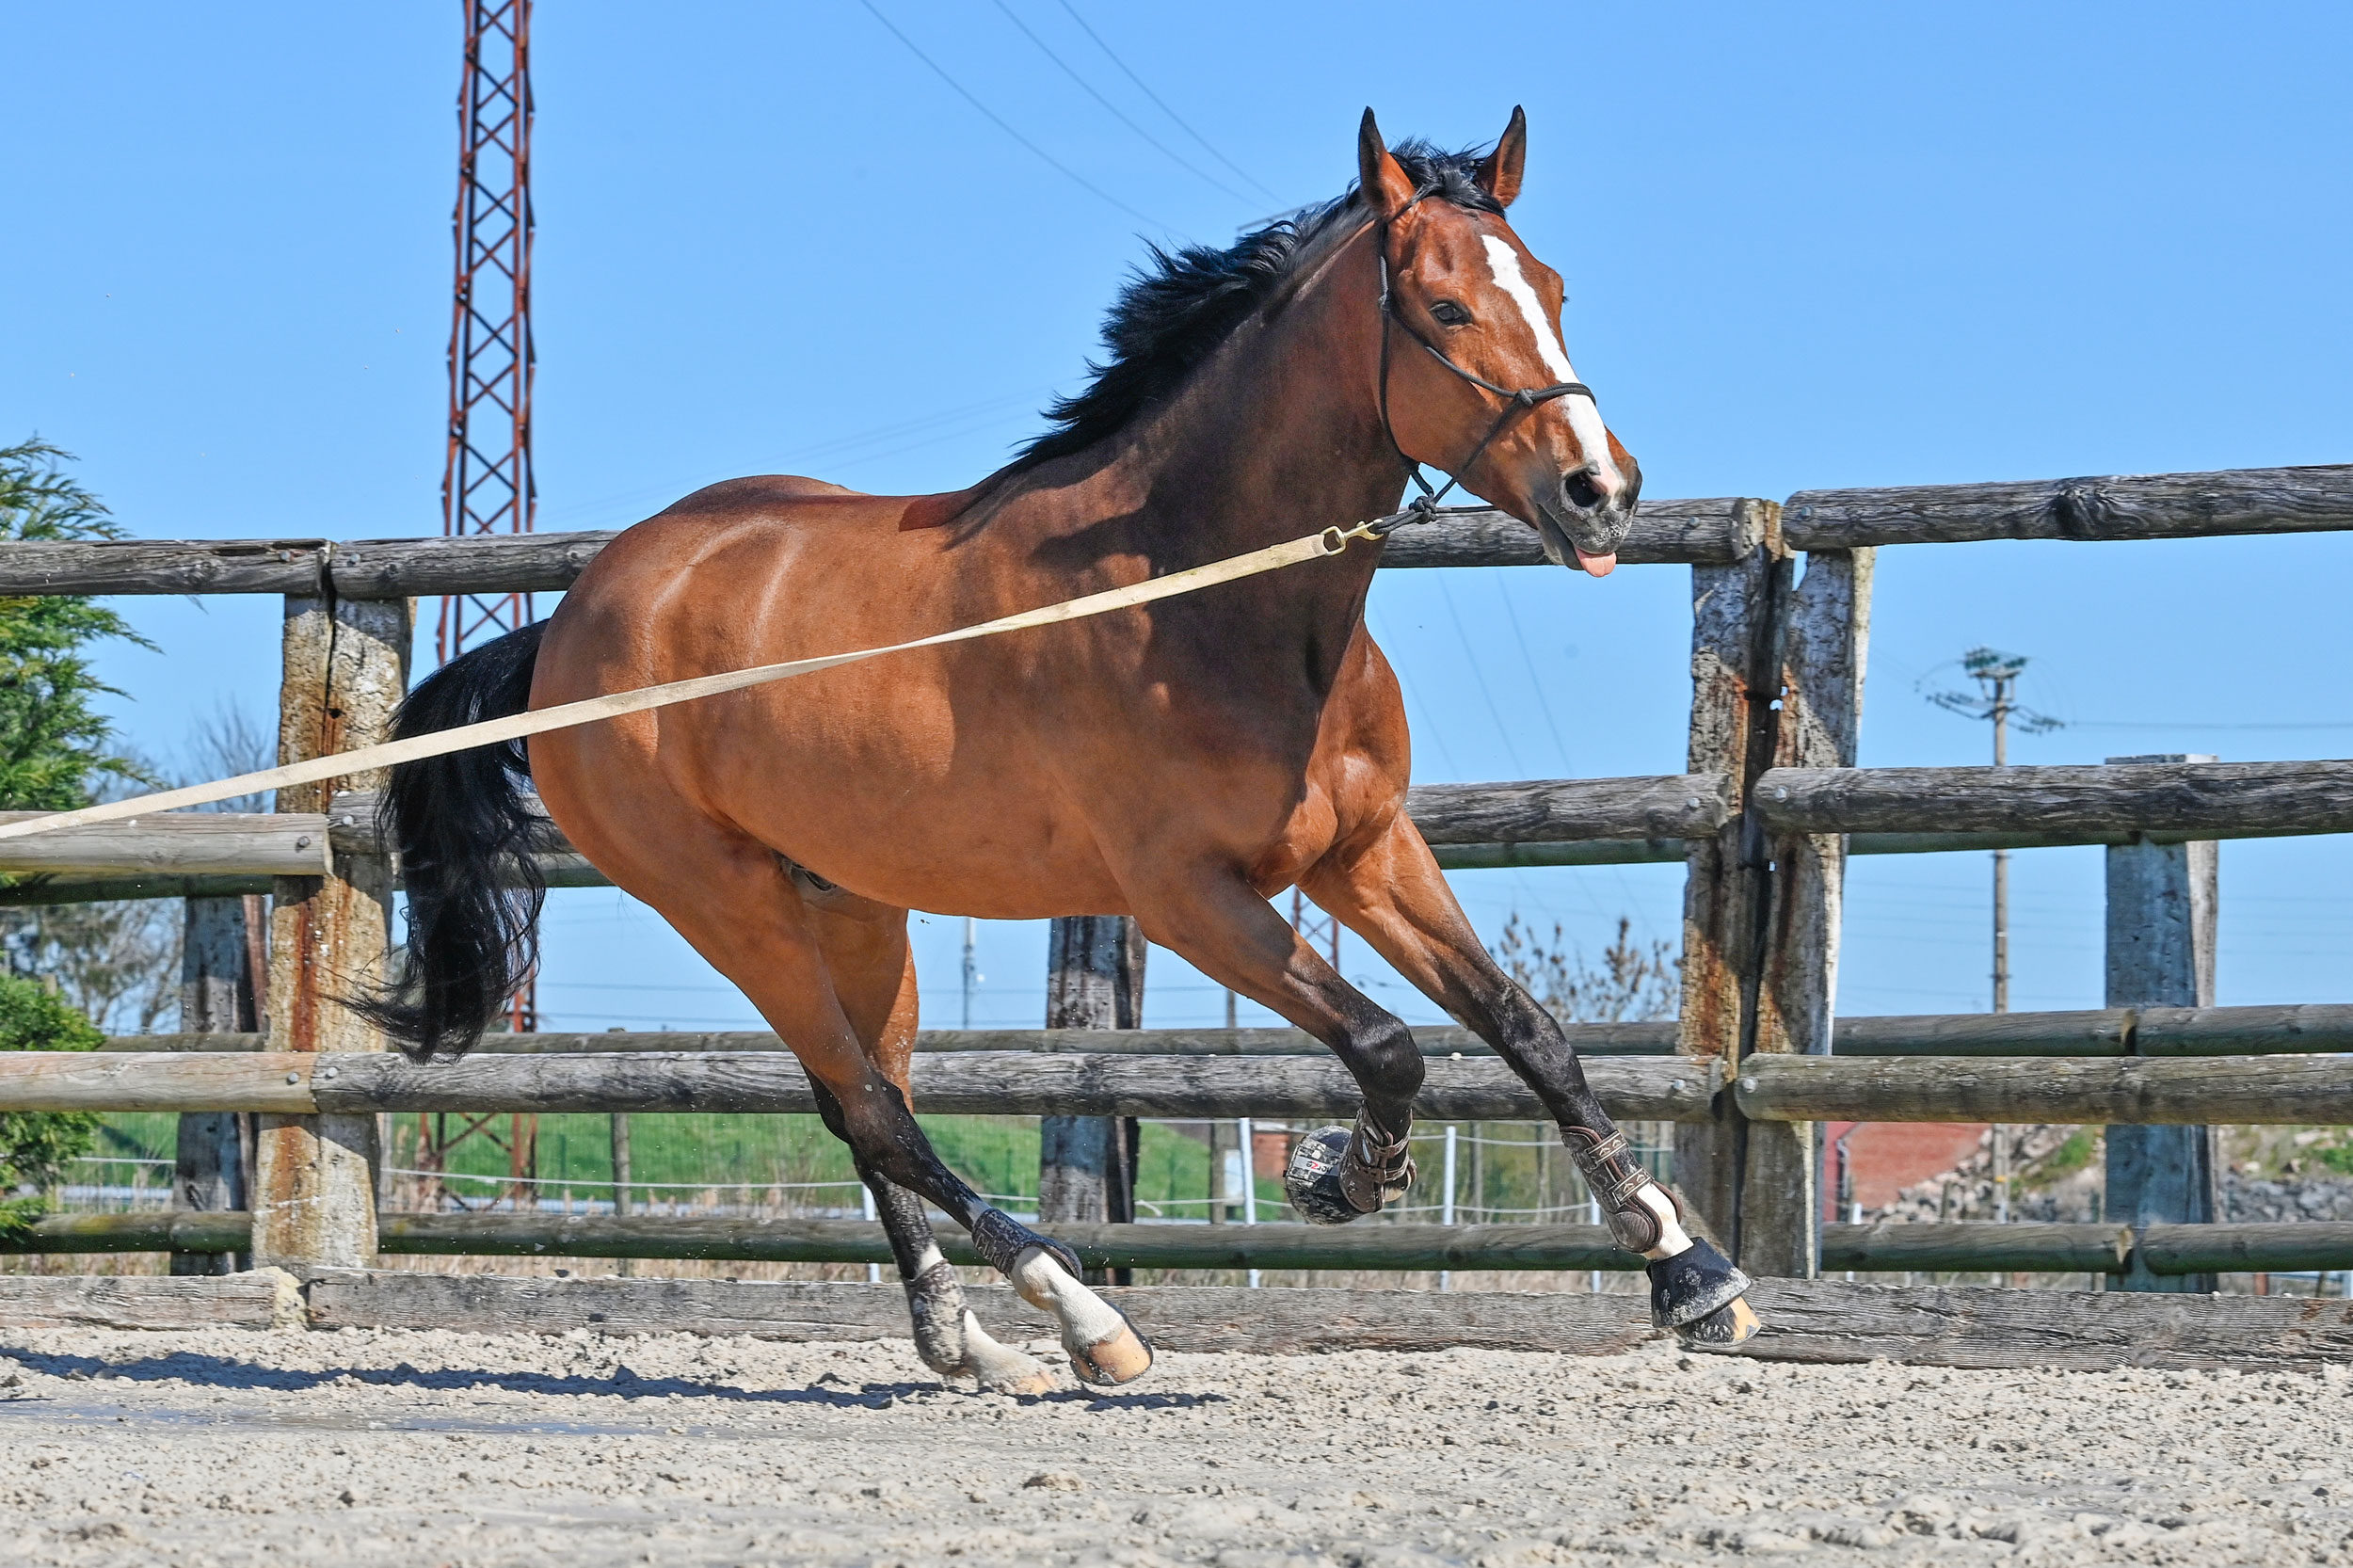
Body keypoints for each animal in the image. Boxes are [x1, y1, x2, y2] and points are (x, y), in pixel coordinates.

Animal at [365, 108, 1759, 1390]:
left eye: (1557, 290)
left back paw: (969, 1345)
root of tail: (568, 627)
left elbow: (1527, 1031)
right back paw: (1082, 1319)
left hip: (853, 906)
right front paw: (1340, 1175)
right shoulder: (1188, 897)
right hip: (726, 901)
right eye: (1445, 305)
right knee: (877, 1111)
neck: (1199, 594)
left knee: (858, 1109)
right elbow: (1388, 1045)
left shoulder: (1366, 849)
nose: (1600, 492)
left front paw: (1688, 1272)